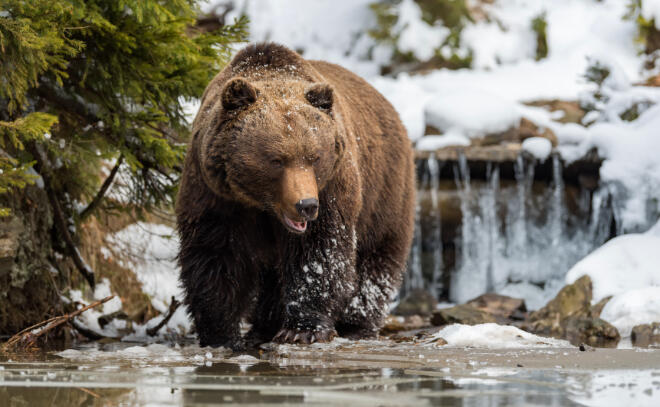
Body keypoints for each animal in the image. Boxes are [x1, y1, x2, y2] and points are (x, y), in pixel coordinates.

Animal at [175, 43, 412, 350]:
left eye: (315, 157)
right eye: (276, 160)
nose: (306, 205)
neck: (262, 205)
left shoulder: (332, 188)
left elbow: (318, 253)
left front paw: (303, 329)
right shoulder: (215, 193)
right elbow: (215, 253)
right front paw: (221, 334)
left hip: (384, 190)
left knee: (376, 258)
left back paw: (356, 324)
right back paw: (263, 326)